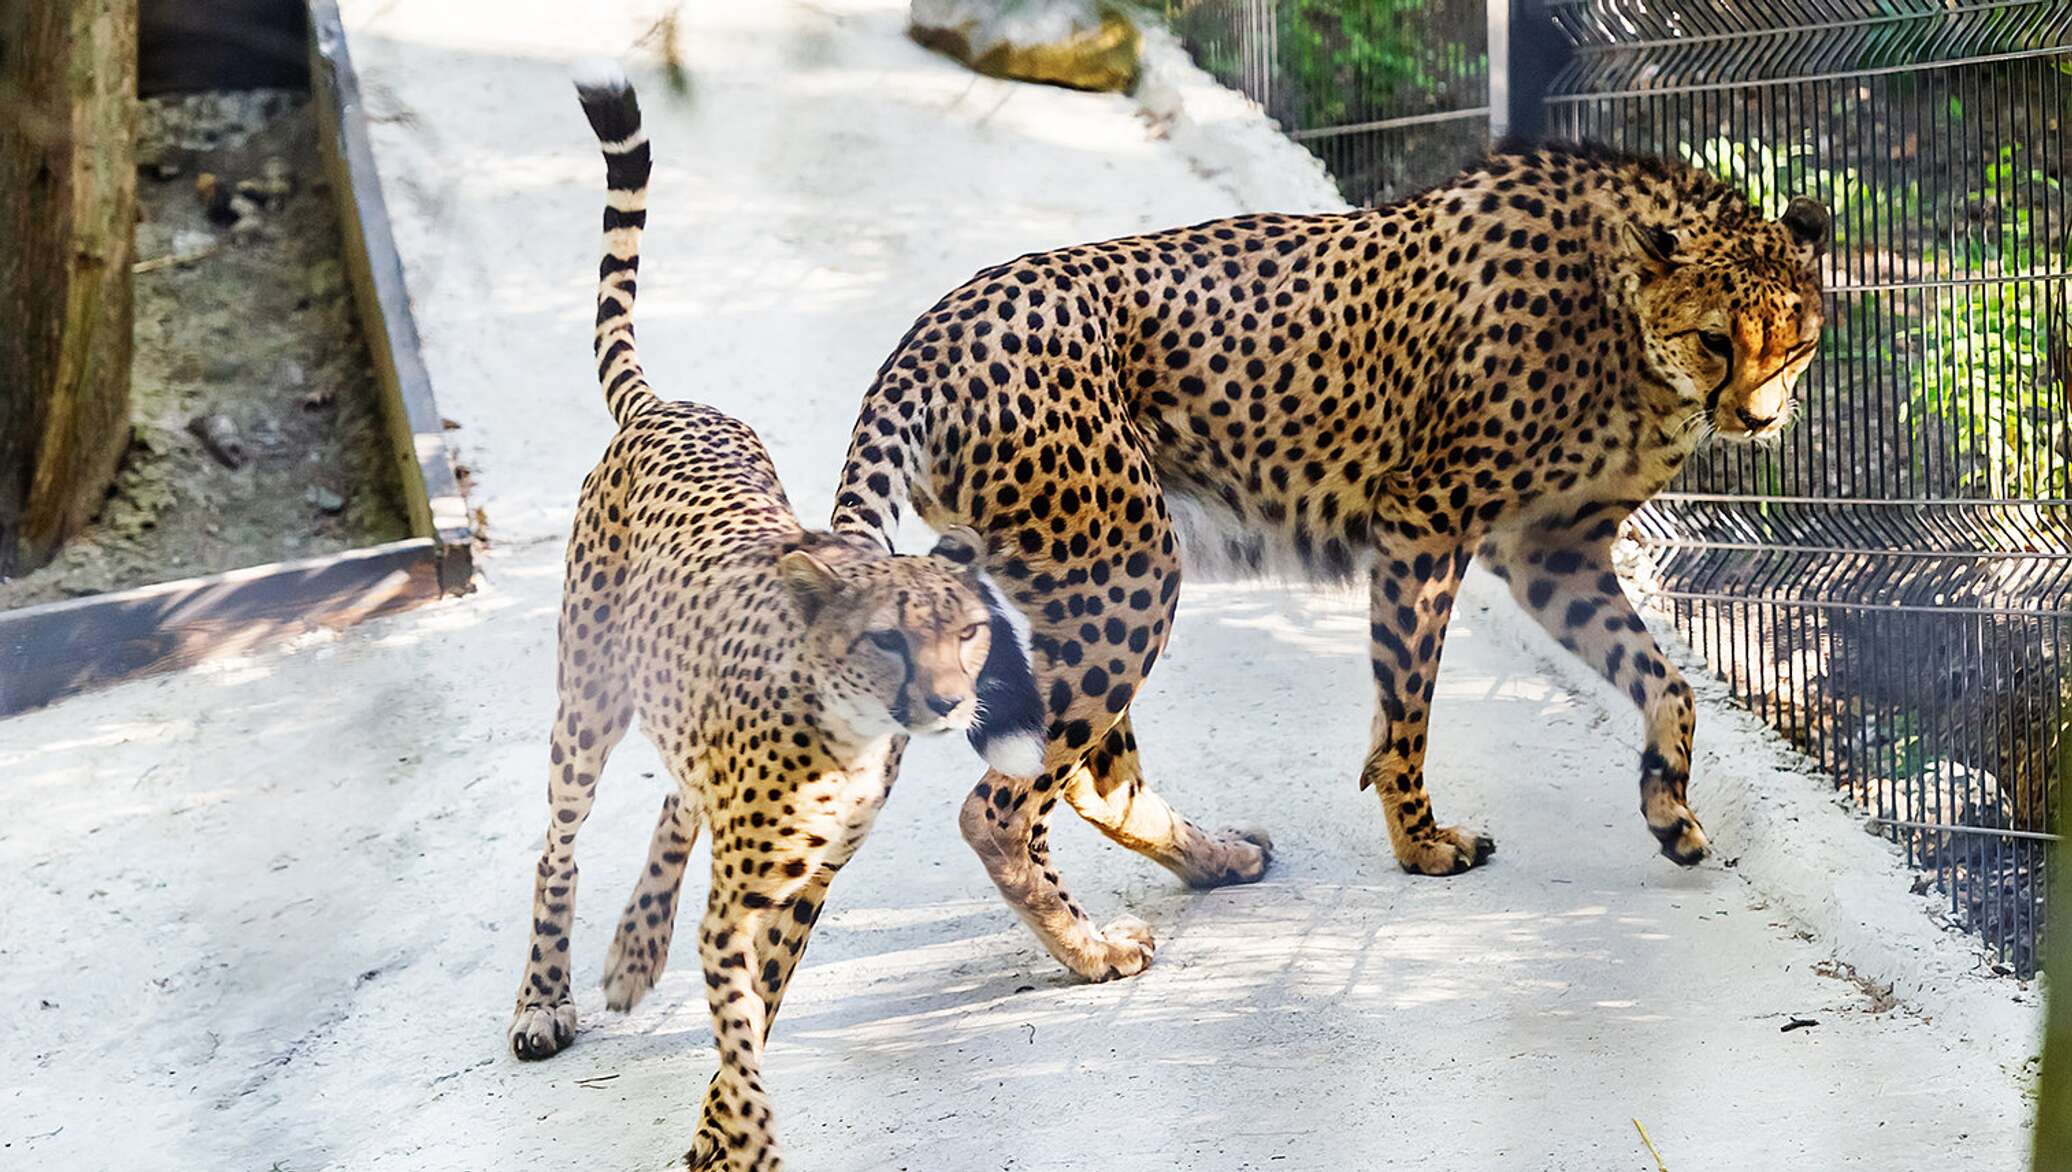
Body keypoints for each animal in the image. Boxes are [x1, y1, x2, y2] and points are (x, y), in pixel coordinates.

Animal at [509, 73, 1044, 1172]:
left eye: (966, 631)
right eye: (889, 636)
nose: (948, 700)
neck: (844, 730)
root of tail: (667, 406)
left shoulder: (803, 886)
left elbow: (761, 1000)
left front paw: (719, 1126)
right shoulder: (743, 896)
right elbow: (739, 1018)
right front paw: (739, 1135)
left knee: (676, 803)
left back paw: (634, 950)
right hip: (588, 700)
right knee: (558, 839)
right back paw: (545, 995)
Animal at [824, 139, 1831, 981]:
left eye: (1799, 344)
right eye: (1716, 338)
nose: (1759, 418)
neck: (1624, 319)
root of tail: (936, 327)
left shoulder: (1555, 551)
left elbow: (1666, 681)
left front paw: (1670, 807)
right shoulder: (1427, 516)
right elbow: (1407, 711)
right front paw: (1423, 846)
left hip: (1088, 580)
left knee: (1094, 784)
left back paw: (1214, 860)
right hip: (1130, 573)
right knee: (1002, 808)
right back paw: (1093, 950)